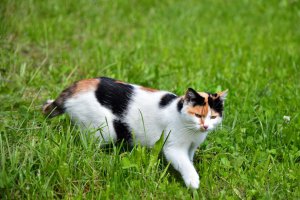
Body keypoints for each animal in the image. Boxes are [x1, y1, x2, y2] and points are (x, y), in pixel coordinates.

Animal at [42, 76, 227, 189]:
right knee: (86, 145)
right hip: (104, 129)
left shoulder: (192, 147)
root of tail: (77, 87)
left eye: (213, 117)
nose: (205, 126)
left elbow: (189, 159)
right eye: (198, 115)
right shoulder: (173, 148)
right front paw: (193, 181)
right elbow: (184, 163)